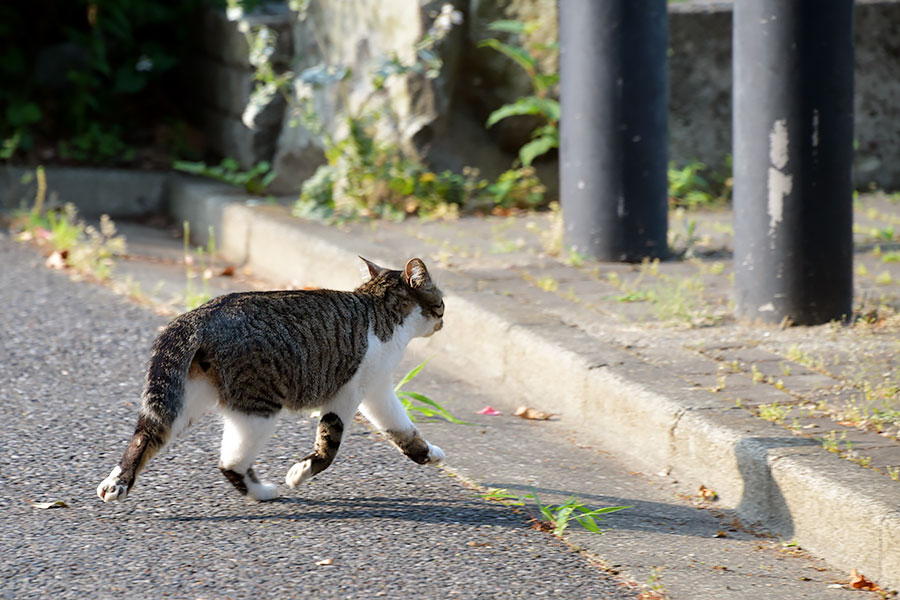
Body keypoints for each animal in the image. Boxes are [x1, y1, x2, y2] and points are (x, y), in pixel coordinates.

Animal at [97, 256, 446, 502]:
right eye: (441, 302)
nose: (443, 321)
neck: (380, 311)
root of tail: (201, 313)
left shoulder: (378, 391)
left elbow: (401, 429)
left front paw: (428, 454)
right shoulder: (348, 393)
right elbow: (329, 445)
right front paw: (301, 473)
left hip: (186, 399)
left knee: (147, 435)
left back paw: (116, 483)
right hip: (259, 408)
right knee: (230, 463)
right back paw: (263, 492)